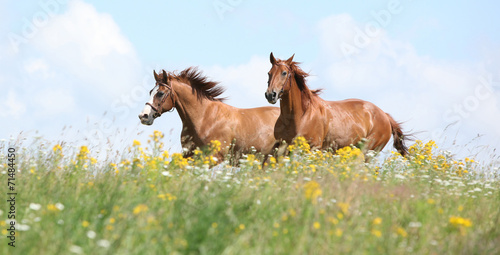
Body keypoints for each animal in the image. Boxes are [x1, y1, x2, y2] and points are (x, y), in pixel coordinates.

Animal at [140, 66, 282, 160]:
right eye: (150, 92)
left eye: (160, 93)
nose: (143, 116)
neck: (204, 117)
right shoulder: (188, 154)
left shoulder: (214, 157)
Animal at [264, 53, 408, 155]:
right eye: (269, 73)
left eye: (284, 73)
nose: (270, 94)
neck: (300, 116)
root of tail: (385, 115)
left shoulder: (313, 147)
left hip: (369, 151)